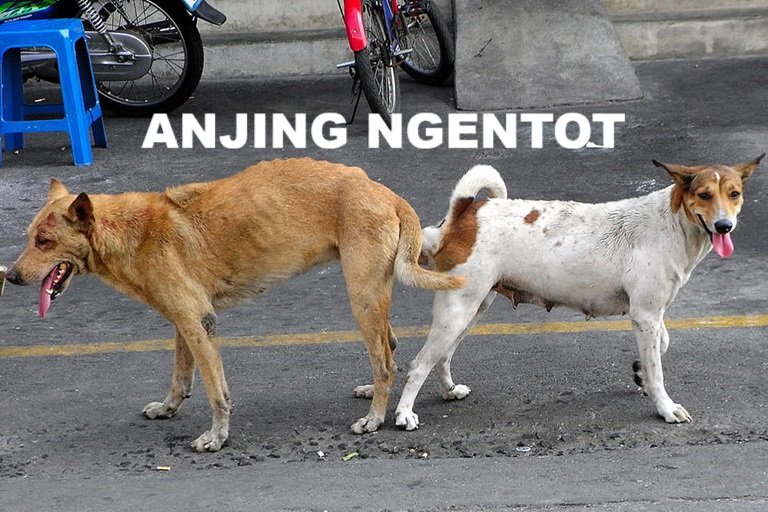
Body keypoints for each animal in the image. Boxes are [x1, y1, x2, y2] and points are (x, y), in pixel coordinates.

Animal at [6, 157, 465, 451]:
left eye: (44, 242)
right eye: (29, 237)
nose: (9, 277)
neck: (130, 232)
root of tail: (386, 192)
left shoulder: (200, 322)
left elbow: (216, 393)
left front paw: (217, 436)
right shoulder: (183, 322)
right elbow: (181, 377)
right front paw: (169, 408)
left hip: (362, 296)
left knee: (385, 360)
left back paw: (375, 416)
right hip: (369, 295)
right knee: (390, 348)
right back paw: (384, 391)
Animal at [395, 154, 763, 431]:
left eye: (734, 194)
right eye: (704, 195)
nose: (724, 226)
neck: (673, 223)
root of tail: (466, 211)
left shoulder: (652, 314)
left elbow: (661, 345)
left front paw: (640, 371)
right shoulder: (644, 315)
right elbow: (658, 369)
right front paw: (664, 406)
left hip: (473, 307)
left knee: (442, 356)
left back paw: (448, 390)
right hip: (458, 309)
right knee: (420, 363)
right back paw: (403, 413)